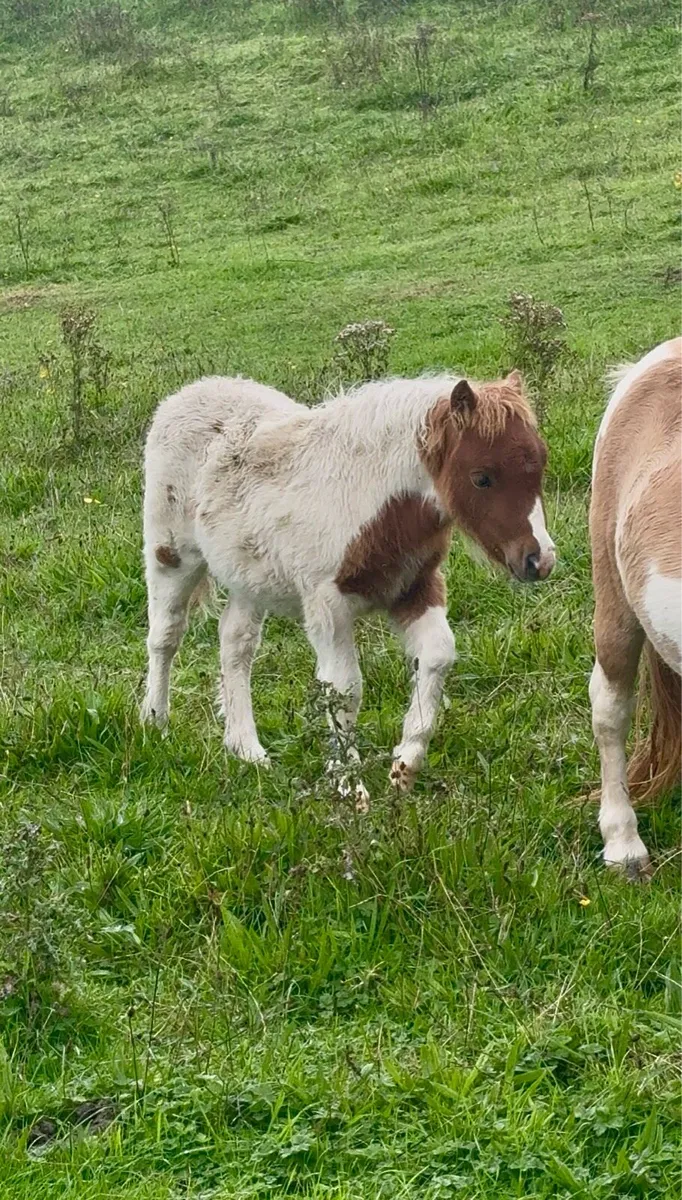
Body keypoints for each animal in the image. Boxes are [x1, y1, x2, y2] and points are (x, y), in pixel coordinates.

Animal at [141, 369, 555, 791]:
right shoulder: (328, 605)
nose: (539, 560)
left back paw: (247, 750)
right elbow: (344, 687)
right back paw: (155, 721)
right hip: (170, 555)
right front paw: (349, 783)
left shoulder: (414, 587)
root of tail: (188, 393)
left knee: (235, 643)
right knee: (165, 636)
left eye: (540, 464)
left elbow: (437, 655)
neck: (373, 500)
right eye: (482, 478)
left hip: (248, 578)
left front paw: (404, 765)